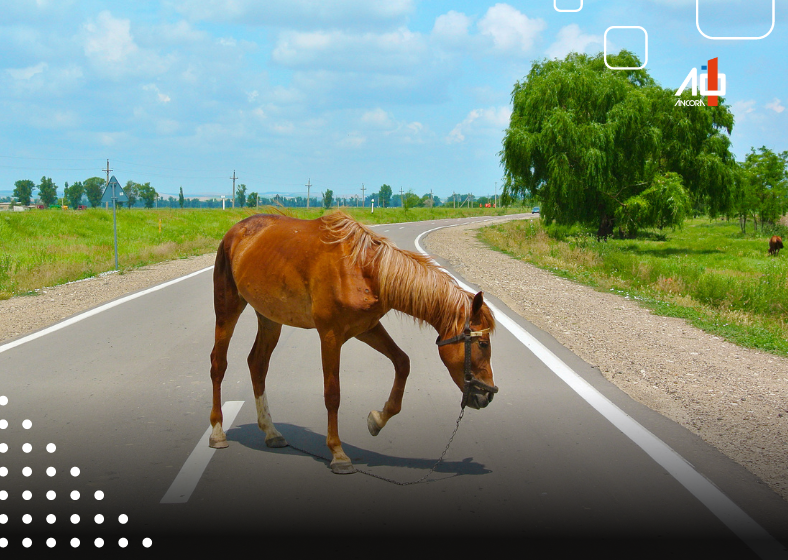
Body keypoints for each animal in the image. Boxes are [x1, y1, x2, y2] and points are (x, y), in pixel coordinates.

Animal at [206, 212, 496, 474]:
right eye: (483, 344)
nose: (487, 395)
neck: (364, 269)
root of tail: (236, 231)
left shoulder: (366, 328)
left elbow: (402, 362)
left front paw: (377, 420)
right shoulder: (330, 336)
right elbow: (333, 394)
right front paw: (338, 453)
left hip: (269, 318)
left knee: (257, 364)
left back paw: (271, 431)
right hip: (228, 309)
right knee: (218, 364)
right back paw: (218, 432)